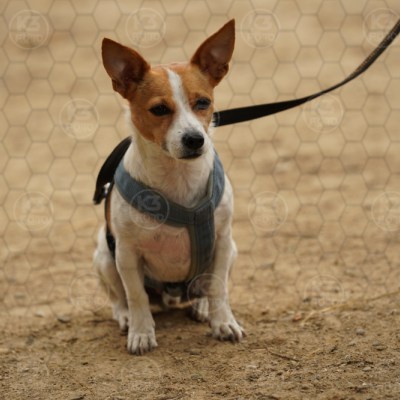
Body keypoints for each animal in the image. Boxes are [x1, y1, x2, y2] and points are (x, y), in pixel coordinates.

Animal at [93, 19, 244, 355]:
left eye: (203, 103)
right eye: (159, 109)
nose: (195, 139)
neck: (178, 176)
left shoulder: (223, 241)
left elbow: (219, 288)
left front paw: (223, 322)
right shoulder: (126, 253)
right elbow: (135, 295)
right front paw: (141, 333)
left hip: (231, 252)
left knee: (205, 287)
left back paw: (201, 306)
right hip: (105, 256)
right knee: (118, 297)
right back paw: (126, 318)